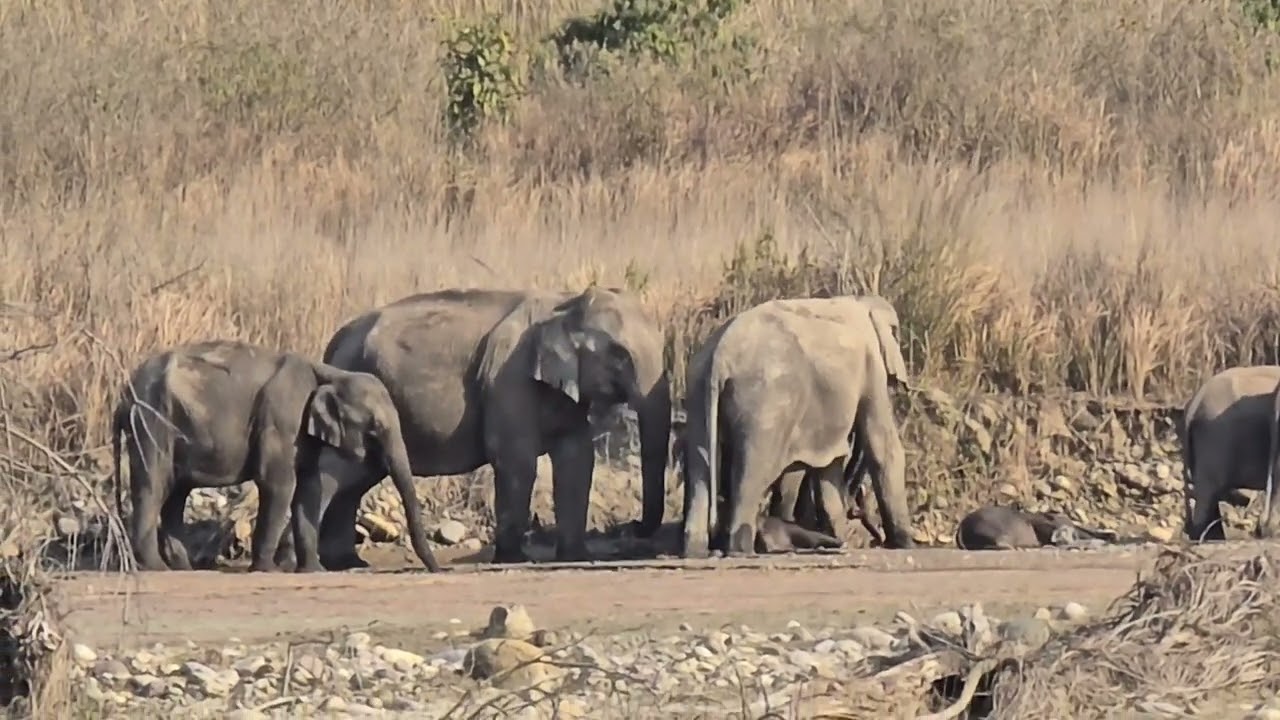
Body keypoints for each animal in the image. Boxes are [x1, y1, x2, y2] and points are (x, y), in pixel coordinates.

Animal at [110, 340, 440, 573]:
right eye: (374, 427)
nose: (436, 569)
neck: (331, 373)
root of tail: (123, 393)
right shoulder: (281, 419)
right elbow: (279, 484)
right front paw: (266, 569)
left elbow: (309, 487)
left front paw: (314, 571)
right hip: (152, 420)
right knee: (153, 485)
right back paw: (156, 567)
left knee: (176, 493)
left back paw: (182, 568)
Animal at [305, 287, 671, 569]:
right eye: (620, 356)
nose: (634, 525)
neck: (564, 303)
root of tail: (333, 344)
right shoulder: (508, 379)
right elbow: (516, 460)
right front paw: (514, 560)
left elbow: (577, 460)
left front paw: (575, 557)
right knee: (345, 472)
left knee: (356, 479)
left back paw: (348, 563)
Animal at [680, 294, 916, 558]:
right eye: (896, 335)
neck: (862, 302)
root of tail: (720, 356)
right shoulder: (871, 365)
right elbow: (882, 444)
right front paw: (906, 544)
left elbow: (826, 469)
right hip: (765, 402)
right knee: (753, 470)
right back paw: (741, 551)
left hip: (698, 390)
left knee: (699, 465)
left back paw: (696, 552)